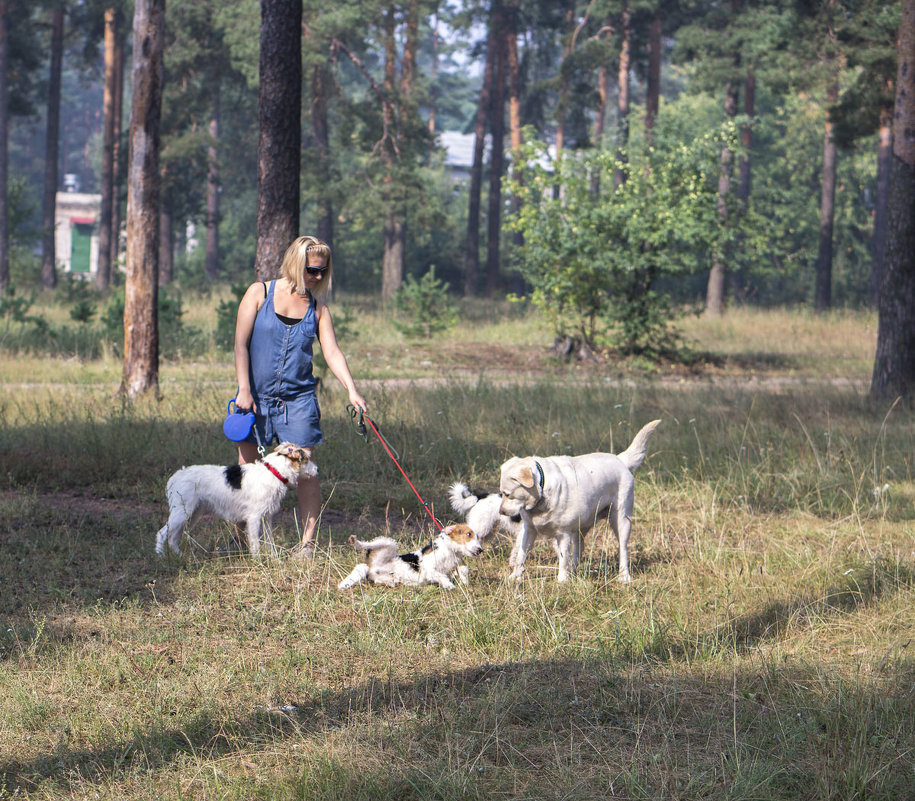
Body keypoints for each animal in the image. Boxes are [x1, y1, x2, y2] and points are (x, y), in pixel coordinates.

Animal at [155, 438, 318, 556]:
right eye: (306, 459)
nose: (317, 469)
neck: (274, 471)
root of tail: (176, 476)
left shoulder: (267, 517)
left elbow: (269, 541)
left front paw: (274, 558)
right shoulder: (254, 518)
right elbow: (255, 543)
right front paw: (257, 560)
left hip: (191, 514)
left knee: (173, 538)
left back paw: (179, 556)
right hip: (181, 514)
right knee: (162, 534)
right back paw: (161, 557)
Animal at [340, 520, 486, 592]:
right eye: (468, 534)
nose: (480, 550)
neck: (450, 551)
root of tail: (370, 567)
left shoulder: (456, 565)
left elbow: (463, 569)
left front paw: (465, 583)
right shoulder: (429, 568)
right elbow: (441, 575)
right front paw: (449, 585)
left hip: (386, 577)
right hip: (388, 543)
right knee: (365, 544)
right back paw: (354, 540)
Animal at [498, 418, 660, 580]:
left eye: (507, 494)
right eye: (501, 493)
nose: (501, 512)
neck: (542, 489)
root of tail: (620, 459)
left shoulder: (563, 534)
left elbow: (563, 559)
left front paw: (562, 580)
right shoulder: (529, 530)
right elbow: (521, 555)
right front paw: (515, 576)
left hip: (621, 520)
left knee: (623, 550)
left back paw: (624, 576)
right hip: (580, 528)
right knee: (578, 550)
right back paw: (574, 573)